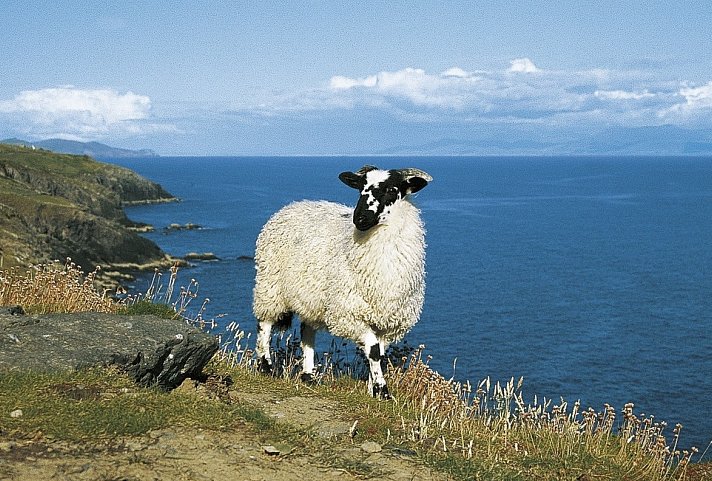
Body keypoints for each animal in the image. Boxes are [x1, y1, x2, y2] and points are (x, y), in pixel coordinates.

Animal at [254, 165, 434, 398]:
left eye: (392, 189)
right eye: (360, 188)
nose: (360, 218)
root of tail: (294, 205)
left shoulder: (388, 321)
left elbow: (379, 354)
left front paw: (373, 389)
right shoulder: (348, 313)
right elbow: (373, 351)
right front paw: (382, 390)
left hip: (310, 296)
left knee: (306, 331)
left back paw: (308, 375)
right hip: (270, 284)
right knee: (264, 323)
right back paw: (266, 366)